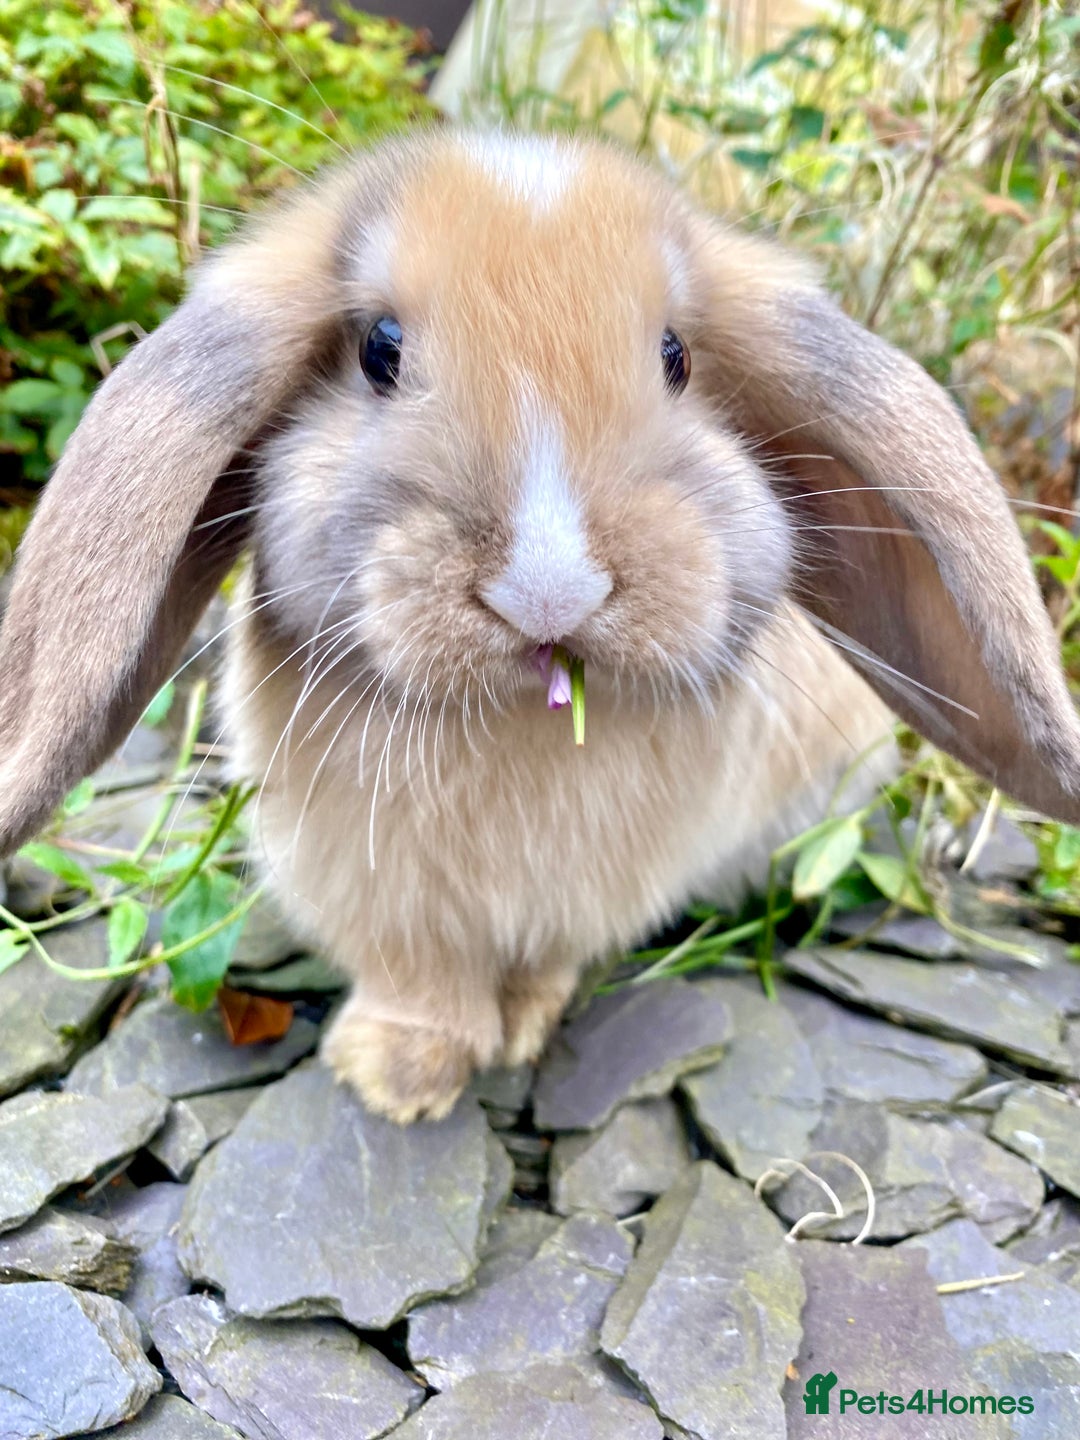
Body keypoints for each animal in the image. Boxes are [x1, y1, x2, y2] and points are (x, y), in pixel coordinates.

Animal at [2, 127, 1080, 1124]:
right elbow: (419, 984)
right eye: (380, 350)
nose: (551, 588)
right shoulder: (382, 901)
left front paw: (513, 1035)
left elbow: (544, 966)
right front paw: (395, 1082)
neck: (523, 725)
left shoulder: (587, 898)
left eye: (677, 357)